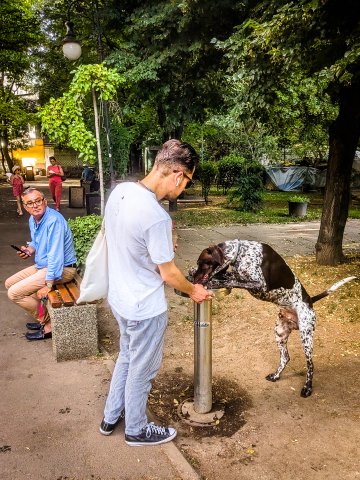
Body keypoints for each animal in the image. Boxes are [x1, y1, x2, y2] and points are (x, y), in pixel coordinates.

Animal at [193, 240, 356, 398]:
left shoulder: (259, 284)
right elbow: (230, 277)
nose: (193, 278)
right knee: (285, 357)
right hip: (280, 332)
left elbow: (233, 280)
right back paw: (276, 376)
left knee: (310, 365)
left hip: (306, 335)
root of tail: (310, 300)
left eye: (201, 262)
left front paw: (213, 281)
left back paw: (307, 388)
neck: (241, 252)